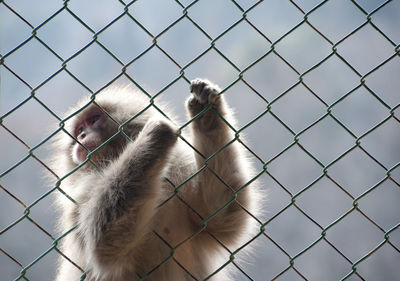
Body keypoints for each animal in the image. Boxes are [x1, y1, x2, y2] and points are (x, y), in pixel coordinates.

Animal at [50, 79, 260, 280]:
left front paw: (206, 114)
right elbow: (102, 243)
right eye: (79, 129)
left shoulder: (178, 168)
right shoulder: (81, 192)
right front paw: (153, 137)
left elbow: (221, 214)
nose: (82, 136)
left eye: (94, 119)